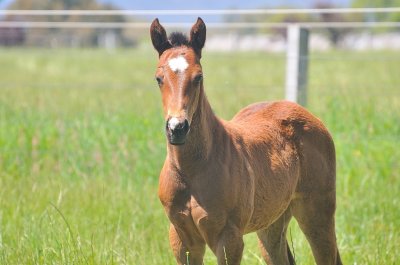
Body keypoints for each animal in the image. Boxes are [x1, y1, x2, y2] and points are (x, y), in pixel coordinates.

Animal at [148, 17, 342, 262]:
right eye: (159, 79)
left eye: (199, 77)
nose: (177, 128)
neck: (192, 170)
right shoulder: (181, 240)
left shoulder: (229, 239)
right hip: (272, 223)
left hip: (317, 214)